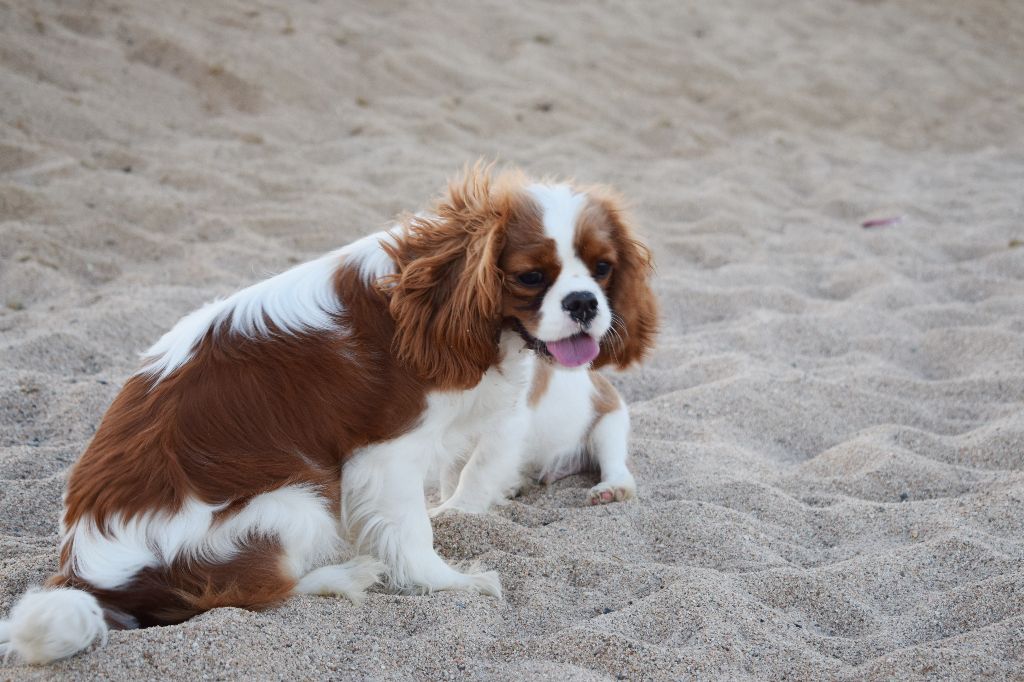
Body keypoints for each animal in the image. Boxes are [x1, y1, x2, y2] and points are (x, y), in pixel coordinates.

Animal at [0, 166, 657, 664]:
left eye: (602, 268)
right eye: (530, 276)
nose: (584, 303)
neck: (430, 292)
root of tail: (84, 573)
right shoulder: (387, 452)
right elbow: (414, 531)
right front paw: (451, 583)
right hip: (297, 500)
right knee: (246, 593)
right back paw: (344, 577)